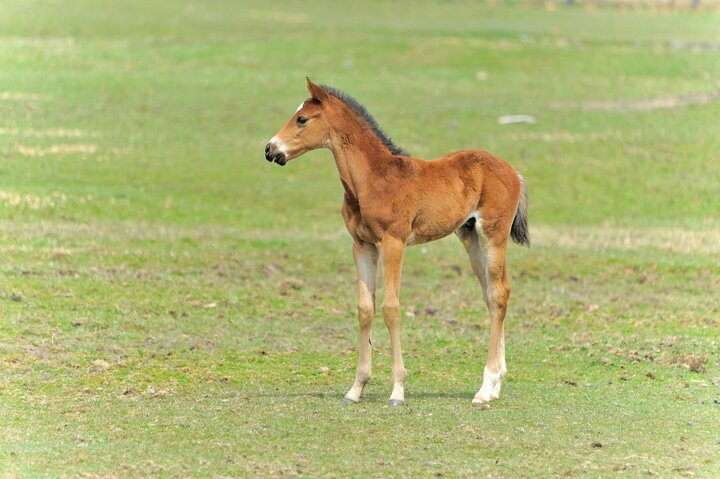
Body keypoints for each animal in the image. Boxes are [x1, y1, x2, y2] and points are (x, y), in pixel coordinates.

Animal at [265, 78, 529, 406]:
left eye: (302, 119)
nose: (270, 149)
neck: (372, 180)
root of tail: (513, 171)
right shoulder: (362, 245)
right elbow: (365, 308)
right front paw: (355, 389)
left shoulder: (393, 242)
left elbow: (391, 308)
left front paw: (397, 391)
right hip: (470, 237)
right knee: (494, 294)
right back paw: (493, 386)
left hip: (492, 234)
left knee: (498, 293)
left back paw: (485, 388)